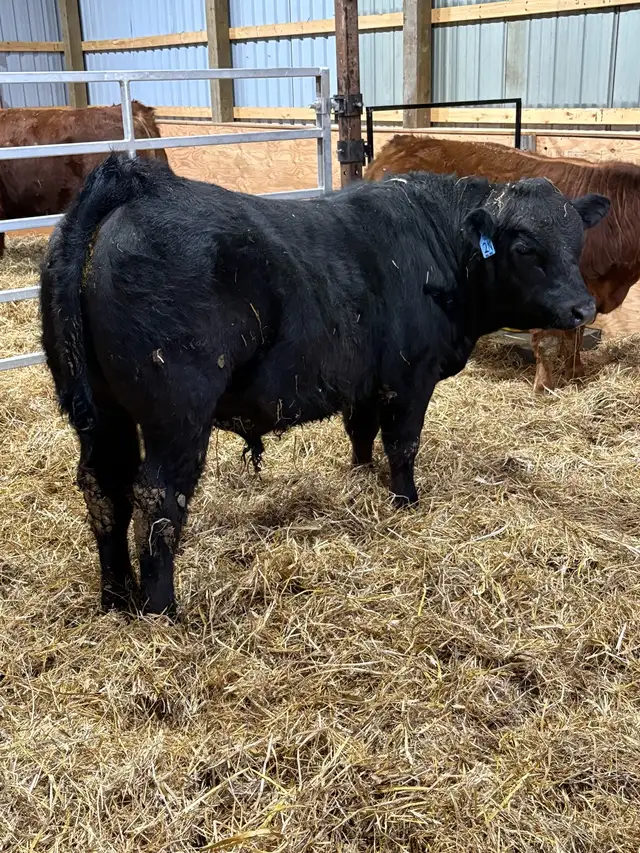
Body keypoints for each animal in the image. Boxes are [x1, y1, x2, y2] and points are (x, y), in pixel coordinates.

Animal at [40, 154, 608, 616]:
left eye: (578, 240)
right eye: (524, 246)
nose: (583, 308)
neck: (437, 244)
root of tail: (138, 186)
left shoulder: (364, 382)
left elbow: (361, 434)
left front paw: (360, 478)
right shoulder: (410, 378)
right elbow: (402, 444)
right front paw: (406, 501)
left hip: (103, 412)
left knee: (103, 485)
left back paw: (116, 597)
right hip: (176, 413)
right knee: (157, 496)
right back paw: (161, 610)